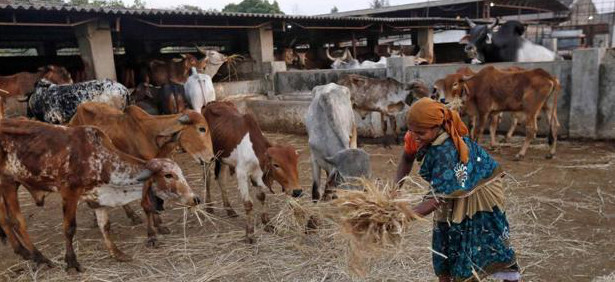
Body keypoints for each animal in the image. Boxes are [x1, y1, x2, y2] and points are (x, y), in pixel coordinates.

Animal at [0, 118, 200, 270]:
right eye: (168, 175)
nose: (195, 198)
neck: (100, 159)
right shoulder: (69, 192)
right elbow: (69, 228)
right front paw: (71, 262)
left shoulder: (97, 196)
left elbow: (105, 225)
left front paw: (117, 253)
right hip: (8, 182)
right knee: (17, 221)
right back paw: (39, 257)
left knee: (5, 220)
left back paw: (23, 252)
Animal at [203, 101, 302, 242]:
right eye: (276, 165)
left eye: (295, 163)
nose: (297, 191)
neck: (254, 150)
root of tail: (210, 103)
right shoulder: (242, 174)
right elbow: (248, 204)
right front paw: (249, 234)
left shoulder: (258, 174)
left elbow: (262, 197)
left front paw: (267, 224)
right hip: (207, 157)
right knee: (207, 177)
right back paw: (209, 206)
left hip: (222, 159)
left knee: (221, 180)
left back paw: (229, 209)